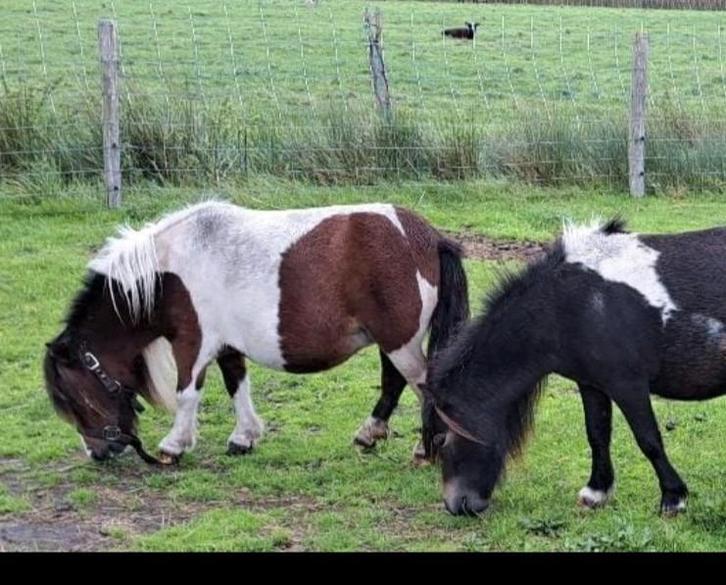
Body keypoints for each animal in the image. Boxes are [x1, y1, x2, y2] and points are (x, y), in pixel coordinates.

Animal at [44, 201, 468, 465]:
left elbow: (187, 393)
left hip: (400, 342)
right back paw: (371, 433)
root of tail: (427, 236)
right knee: (394, 383)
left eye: (73, 396)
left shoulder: (192, 344)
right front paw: (244, 437)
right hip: (392, 341)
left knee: (422, 385)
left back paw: (425, 450)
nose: (97, 452)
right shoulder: (227, 346)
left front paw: (174, 446)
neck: (168, 274)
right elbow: (237, 385)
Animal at [424, 219, 726, 516]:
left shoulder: (628, 386)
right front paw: (597, 491)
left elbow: (649, 440)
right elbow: (597, 434)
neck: (570, 305)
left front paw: (673, 497)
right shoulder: (591, 384)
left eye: (440, 440)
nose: (456, 504)